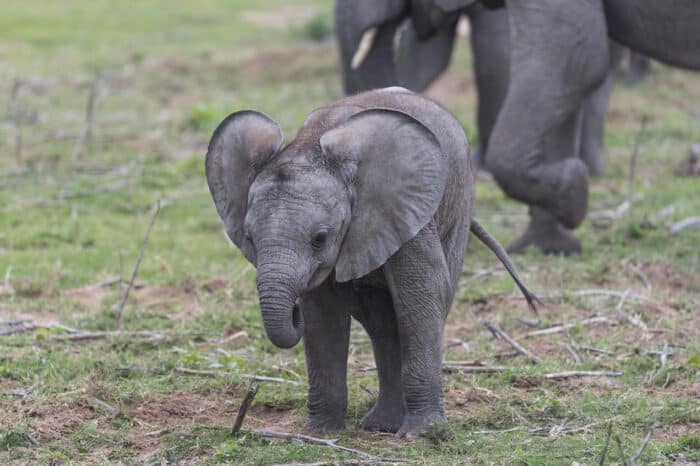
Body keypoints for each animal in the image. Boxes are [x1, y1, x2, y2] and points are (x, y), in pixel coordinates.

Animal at [205, 88, 540, 436]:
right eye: (250, 238)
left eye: (319, 239)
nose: (293, 312)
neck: (309, 146)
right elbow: (323, 313)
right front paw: (319, 431)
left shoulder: (406, 210)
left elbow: (424, 294)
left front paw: (421, 434)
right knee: (381, 321)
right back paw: (382, 425)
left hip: (459, 201)